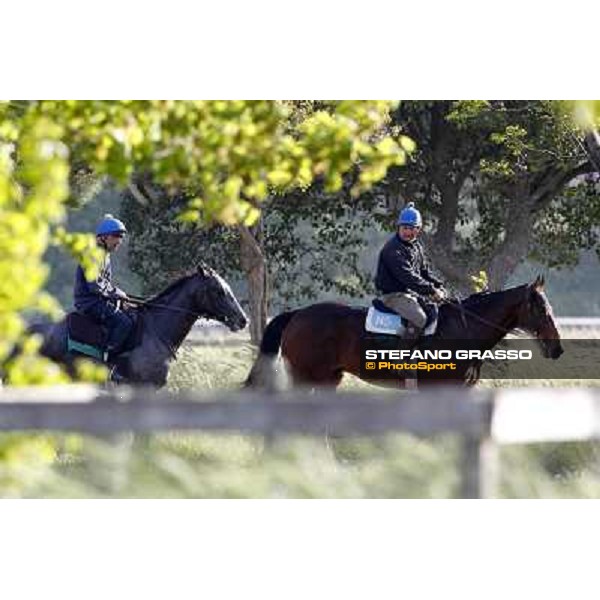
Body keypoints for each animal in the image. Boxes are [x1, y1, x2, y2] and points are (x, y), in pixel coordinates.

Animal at [245, 276, 564, 390]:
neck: (466, 328)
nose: (557, 349)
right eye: (541, 310)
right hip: (306, 376)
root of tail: (298, 314)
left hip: (328, 380)